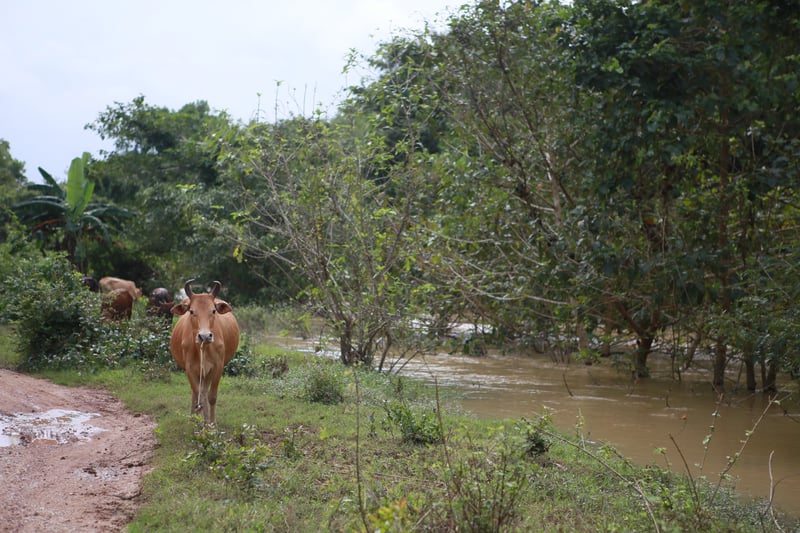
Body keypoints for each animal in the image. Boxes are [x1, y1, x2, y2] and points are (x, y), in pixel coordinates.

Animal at [170, 278, 239, 424]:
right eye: (191, 311)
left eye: (213, 311)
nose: (205, 336)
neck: (204, 349)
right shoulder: (190, 369)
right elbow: (199, 396)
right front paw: (200, 421)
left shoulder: (217, 367)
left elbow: (211, 397)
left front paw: (212, 423)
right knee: (197, 393)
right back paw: (194, 417)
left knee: (204, 392)